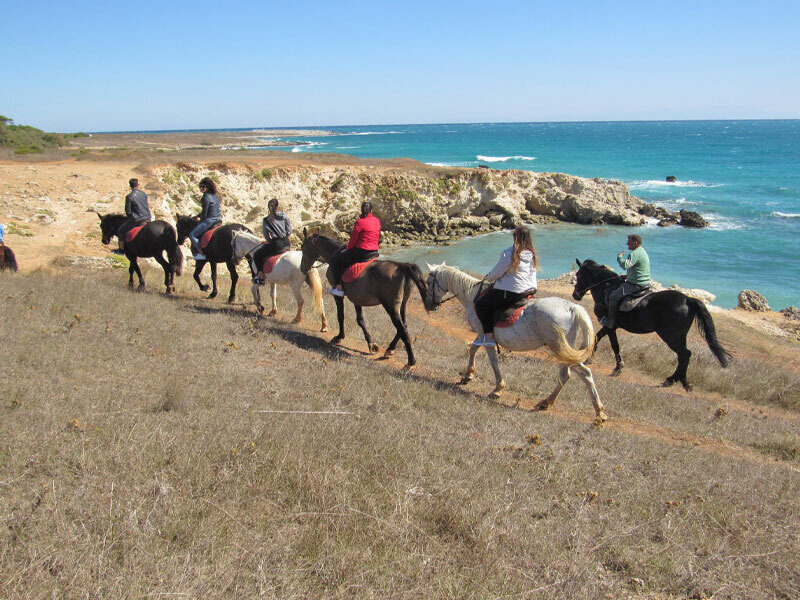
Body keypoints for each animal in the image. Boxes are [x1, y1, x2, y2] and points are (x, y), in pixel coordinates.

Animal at [299, 230, 428, 369]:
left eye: (303, 247)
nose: (302, 268)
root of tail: (401, 266)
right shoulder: (357, 298)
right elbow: (360, 320)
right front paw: (371, 344)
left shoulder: (338, 296)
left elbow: (341, 316)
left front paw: (339, 337)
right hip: (402, 304)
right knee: (403, 325)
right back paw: (390, 349)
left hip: (390, 306)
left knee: (402, 328)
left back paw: (410, 361)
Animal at [426, 263, 606, 420]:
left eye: (428, 282)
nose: (429, 305)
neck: (473, 297)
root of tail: (573, 308)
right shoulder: (482, 334)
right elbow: (473, 349)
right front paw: (468, 375)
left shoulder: (485, 335)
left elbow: (492, 360)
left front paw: (497, 389)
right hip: (567, 351)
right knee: (582, 374)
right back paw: (597, 411)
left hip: (560, 348)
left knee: (569, 374)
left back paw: (549, 402)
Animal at [572, 259, 731, 390]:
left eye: (579, 276)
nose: (575, 295)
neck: (606, 288)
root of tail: (687, 299)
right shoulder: (612, 326)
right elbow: (599, 339)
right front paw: (591, 358)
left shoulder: (610, 325)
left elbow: (613, 344)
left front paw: (616, 368)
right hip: (680, 335)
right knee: (684, 355)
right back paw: (677, 381)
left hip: (669, 335)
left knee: (684, 354)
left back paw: (675, 381)